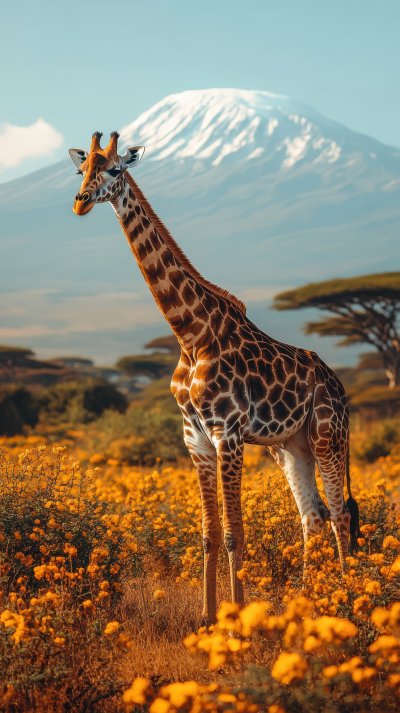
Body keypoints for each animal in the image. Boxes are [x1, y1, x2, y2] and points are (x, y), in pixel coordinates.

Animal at [69, 131, 360, 624]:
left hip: (327, 436)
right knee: (312, 517)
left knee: (339, 514)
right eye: (80, 169)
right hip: (290, 446)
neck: (190, 333)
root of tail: (342, 390)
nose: (80, 202)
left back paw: (342, 600)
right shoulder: (196, 438)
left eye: (115, 170)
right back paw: (309, 602)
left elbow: (233, 533)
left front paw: (237, 618)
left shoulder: (230, 433)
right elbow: (207, 533)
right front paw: (207, 618)